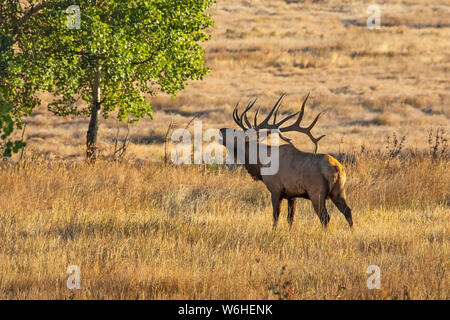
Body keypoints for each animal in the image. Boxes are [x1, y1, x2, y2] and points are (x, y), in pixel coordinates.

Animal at [220, 93, 354, 230]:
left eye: (236, 134)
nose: (221, 129)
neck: (260, 164)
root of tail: (338, 169)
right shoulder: (292, 195)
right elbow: (290, 219)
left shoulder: (276, 190)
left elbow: (275, 217)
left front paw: (273, 232)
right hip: (339, 191)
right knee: (348, 212)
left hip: (317, 193)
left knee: (325, 217)